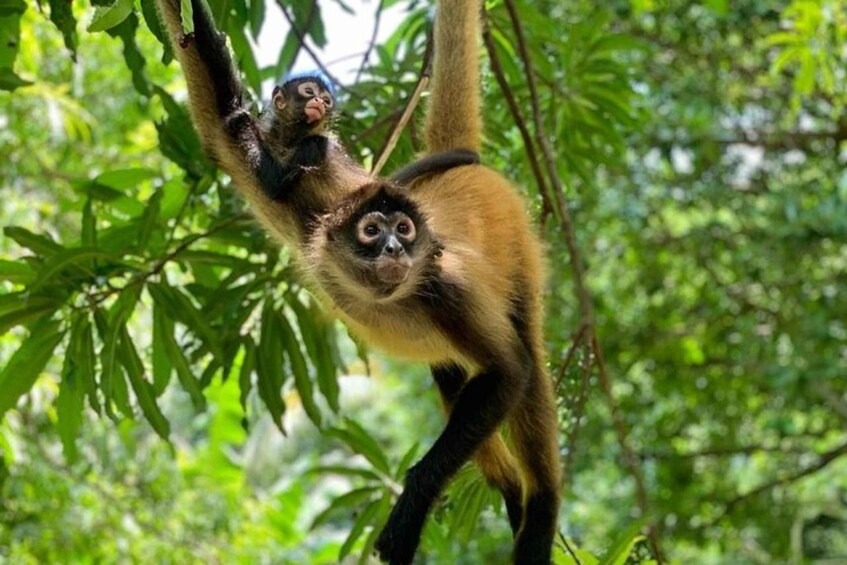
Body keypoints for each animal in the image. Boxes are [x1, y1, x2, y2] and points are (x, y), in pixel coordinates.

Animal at [154, 0, 561, 563]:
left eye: (403, 232)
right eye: (372, 232)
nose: (394, 249)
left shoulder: (445, 284)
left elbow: (511, 370)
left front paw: (411, 504)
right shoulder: (298, 211)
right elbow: (219, 111)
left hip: (516, 252)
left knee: (526, 358)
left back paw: (539, 511)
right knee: (453, 375)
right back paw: (512, 493)